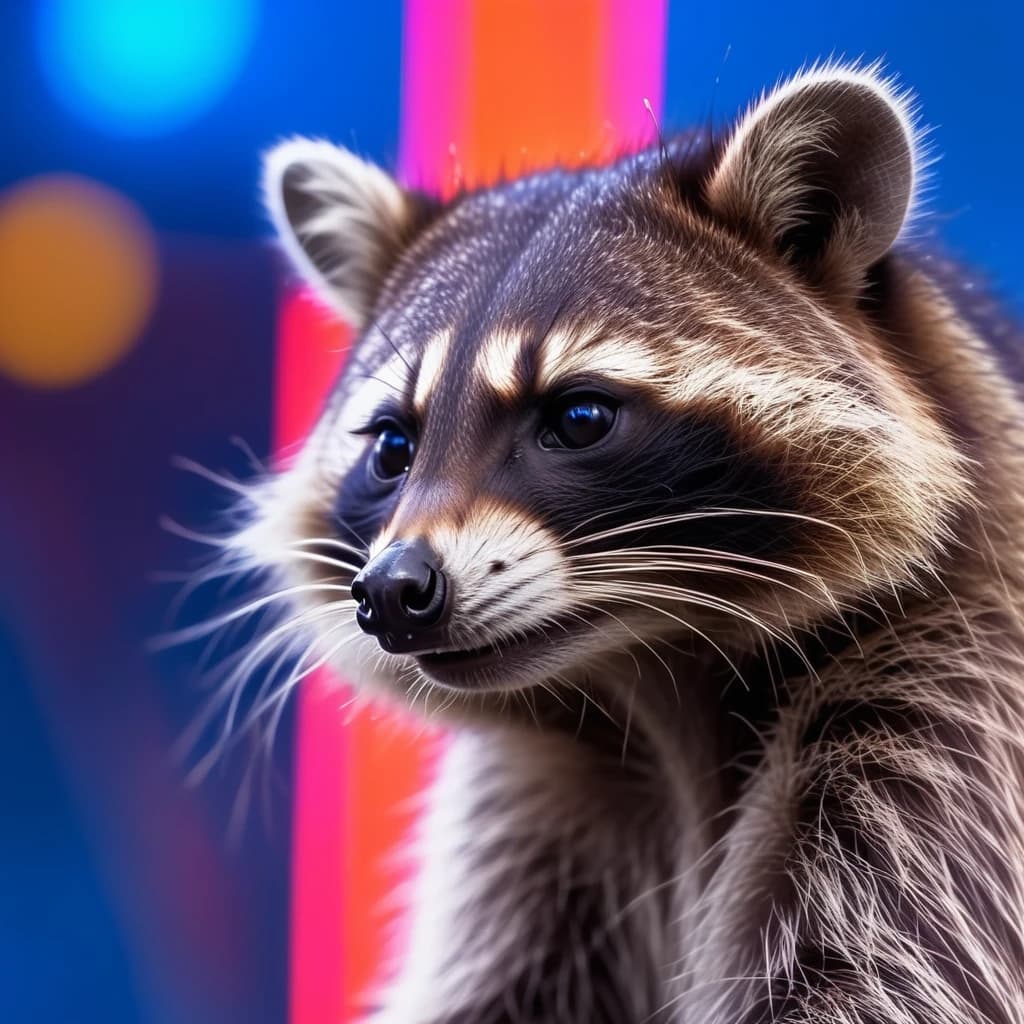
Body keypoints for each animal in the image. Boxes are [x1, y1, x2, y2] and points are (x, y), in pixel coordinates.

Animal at [235, 63, 1024, 1022]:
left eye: (577, 418)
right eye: (392, 447)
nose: (392, 589)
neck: (654, 677)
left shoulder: (944, 723)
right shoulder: (540, 801)